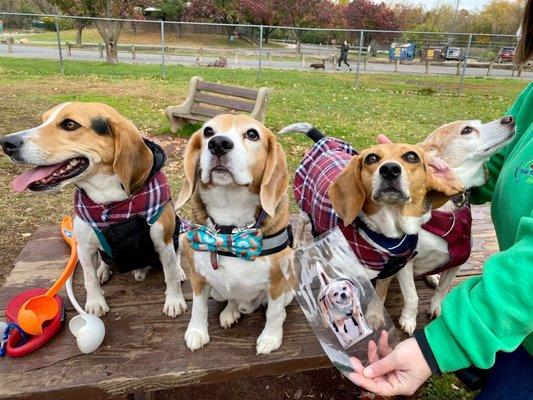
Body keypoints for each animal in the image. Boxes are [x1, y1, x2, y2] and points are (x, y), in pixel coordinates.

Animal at [0, 102, 187, 318]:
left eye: (70, 124)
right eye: (43, 120)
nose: (6, 143)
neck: (110, 201)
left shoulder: (163, 242)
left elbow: (170, 275)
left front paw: (174, 300)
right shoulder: (84, 248)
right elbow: (89, 279)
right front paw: (95, 302)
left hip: (178, 231)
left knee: (177, 257)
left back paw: (180, 270)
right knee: (104, 261)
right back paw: (103, 270)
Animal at [176, 112, 294, 354]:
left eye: (252, 134)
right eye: (208, 131)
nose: (218, 143)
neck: (230, 229)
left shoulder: (277, 281)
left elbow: (274, 313)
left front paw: (271, 337)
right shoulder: (198, 277)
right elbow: (198, 307)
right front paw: (197, 332)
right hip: (217, 290)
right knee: (231, 298)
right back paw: (231, 311)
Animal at [374, 115, 516, 334]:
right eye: (467, 130)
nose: (510, 119)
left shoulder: (457, 261)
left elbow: (443, 289)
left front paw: (436, 307)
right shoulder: (406, 264)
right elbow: (412, 297)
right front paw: (408, 319)